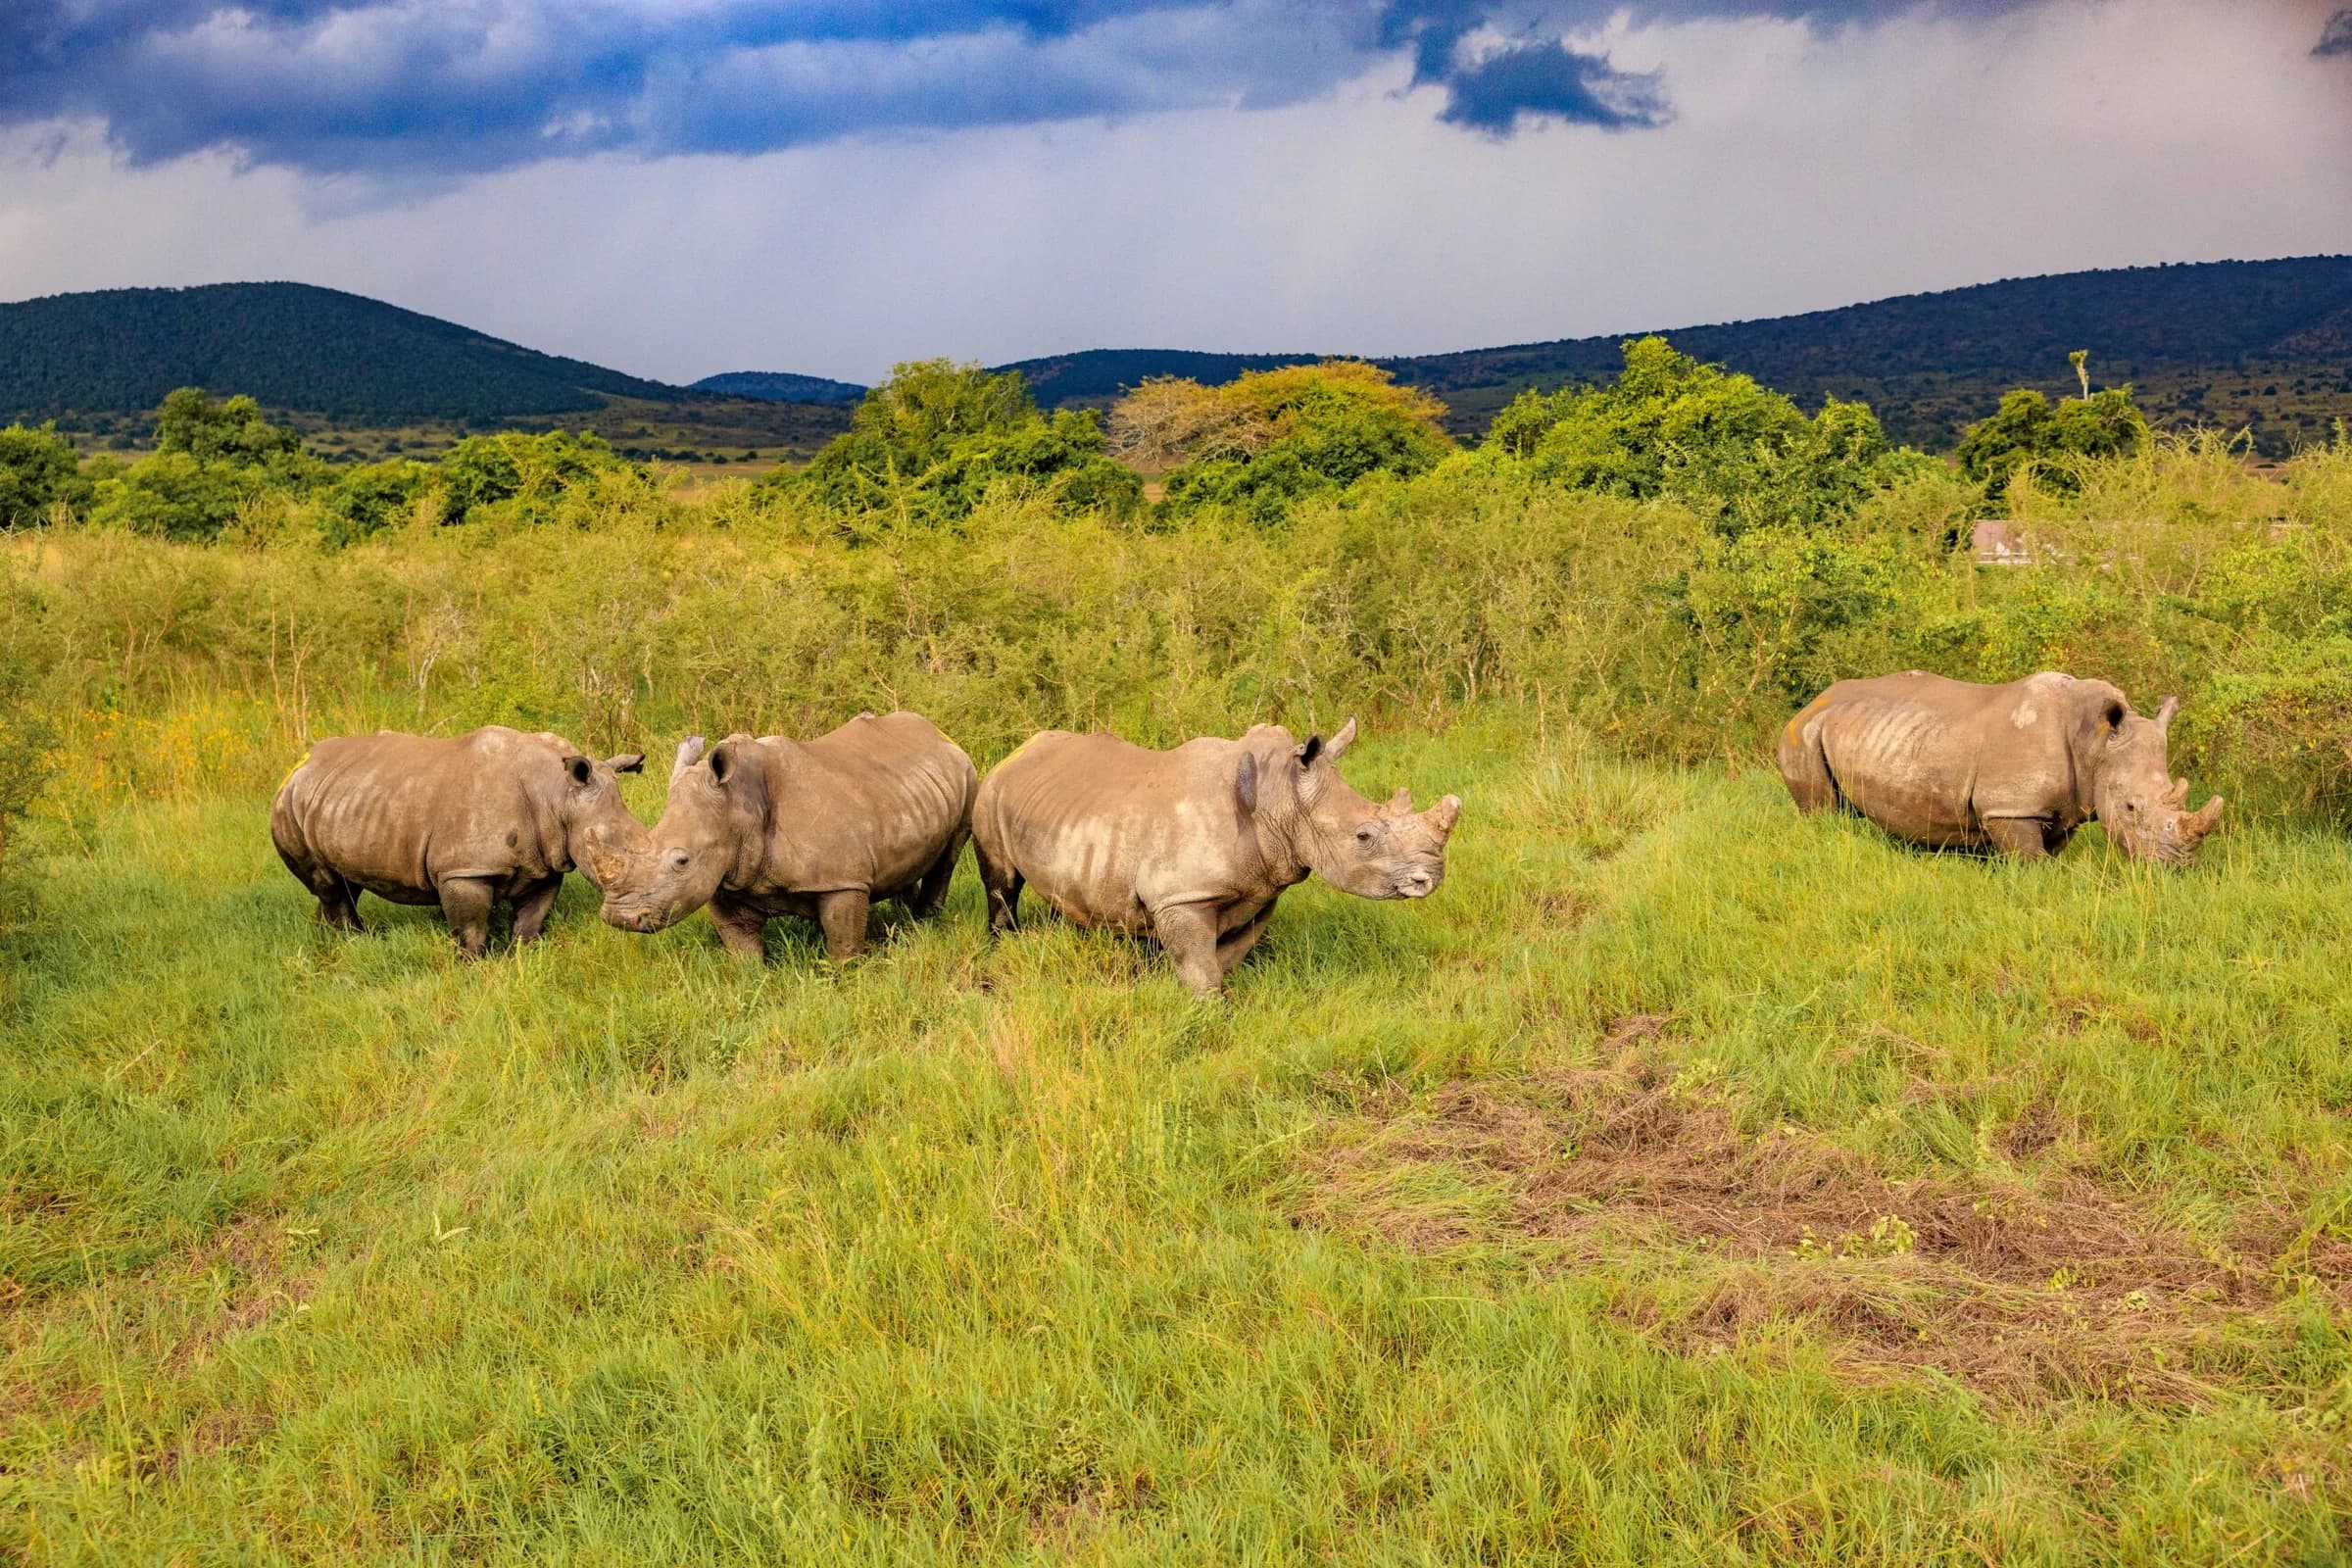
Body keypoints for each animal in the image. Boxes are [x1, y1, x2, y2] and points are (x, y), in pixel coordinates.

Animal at [270, 726, 648, 956]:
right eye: (608, 856)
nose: (640, 920)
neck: (557, 793)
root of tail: (298, 766)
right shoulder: (465, 869)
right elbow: (470, 926)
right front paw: (473, 965)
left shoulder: (545, 863)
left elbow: (532, 918)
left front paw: (521, 956)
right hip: (288, 805)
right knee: (328, 882)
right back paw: (356, 941)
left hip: (343, 798)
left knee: (343, 881)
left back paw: (330, 936)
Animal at [597, 712, 978, 962]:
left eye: (681, 860)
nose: (619, 917)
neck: (739, 808)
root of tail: (937, 732)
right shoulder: (722, 877)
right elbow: (739, 941)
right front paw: (751, 978)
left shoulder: (842, 880)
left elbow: (843, 937)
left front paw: (844, 973)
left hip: (968, 774)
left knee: (949, 854)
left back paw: (924, 921)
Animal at [970, 717, 1462, 996]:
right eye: (1363, 836)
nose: (1431, 877)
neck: (1280, 797)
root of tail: (1017, 751)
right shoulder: (1182, 896)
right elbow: (1200, 966)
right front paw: (1207, 1009)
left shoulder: (1262, 888)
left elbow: (1228, 956)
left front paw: (1223, 998)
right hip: (989, 790)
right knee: (1002, 883)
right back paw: (1003, 944)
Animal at [1778, 670, 2223, 863]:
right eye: (2131, 808)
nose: (2176, 867)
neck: (2094, 741)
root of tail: (1810, 702)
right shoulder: (2012, 805)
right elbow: (2032, 861)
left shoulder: (2063, 805)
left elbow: (2050, 851)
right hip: (1803, 734)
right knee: (1821, 812)